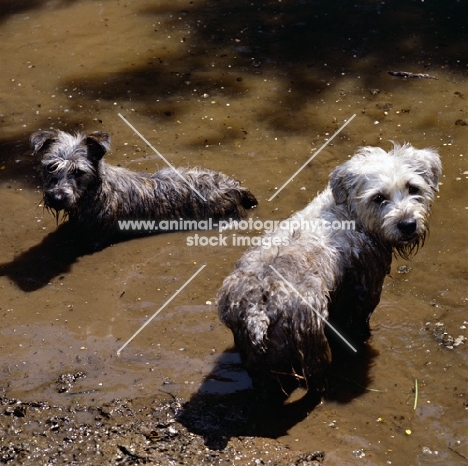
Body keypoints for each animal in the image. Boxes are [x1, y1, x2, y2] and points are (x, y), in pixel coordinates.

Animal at [218, 144, 440, 402]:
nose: (407, 225)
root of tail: (258, 313)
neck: (350, 212)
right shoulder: (366, 288)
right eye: (378, 197)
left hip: (254, 356)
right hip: (313, 345)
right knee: (316, 382)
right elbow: (360, 321)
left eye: (413, 187)